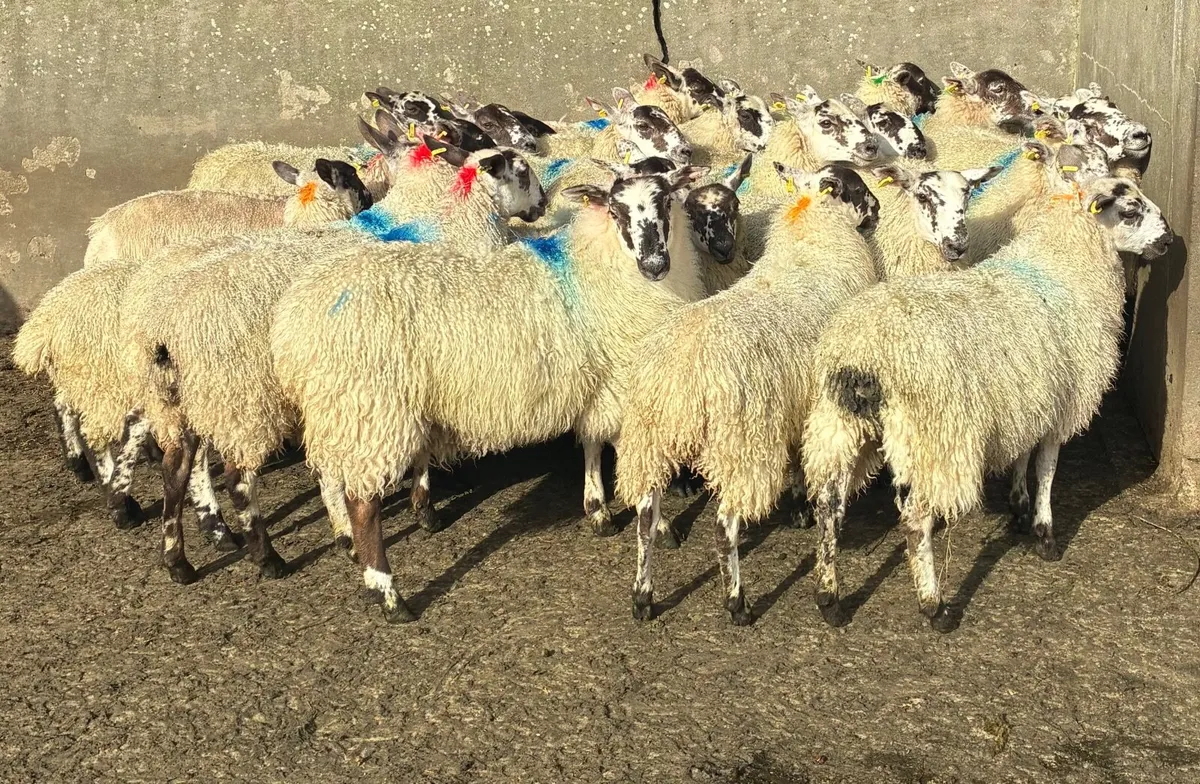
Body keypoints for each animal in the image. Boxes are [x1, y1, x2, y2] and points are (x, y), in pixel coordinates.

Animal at [126, 137, 548, 584]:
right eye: (522, 171)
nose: (543, 203)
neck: (451, 228)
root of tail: (161, 328)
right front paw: (426, 513)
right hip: (240, 398)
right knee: (237, 478)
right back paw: (267, 558)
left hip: (180, 401)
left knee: (176, 471)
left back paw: (183, 558)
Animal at [270, 166, 708, 621]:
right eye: (616, 211)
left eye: (666, 201)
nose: (654, 264)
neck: (596, 269)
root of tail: (293, 320)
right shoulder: (621, 385)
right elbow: (629, 461)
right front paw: (656, 524)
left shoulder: (600, 385)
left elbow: (591, 444)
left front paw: (598, 511)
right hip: (373, 408)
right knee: (363, 505)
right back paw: (389, 594)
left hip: (340, 409)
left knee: (330, 477)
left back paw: (350, 546)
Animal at [615, 164, 879, 624]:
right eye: (857, 188)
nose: (878, 208)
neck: (812, 232)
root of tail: (683, 379)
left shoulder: (796, 405)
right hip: (740, 443)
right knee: (724, 527)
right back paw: (737, 603)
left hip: (650, 438)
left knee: (645, 519)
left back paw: (643, 597)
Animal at [801, 171, 1172, 633]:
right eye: (1130, 210)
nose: (1169, 240)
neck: (1065, 265)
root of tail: (863, 354)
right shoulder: (1063, 402)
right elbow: (1047, 469)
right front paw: (1045, 534)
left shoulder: (1029, 398)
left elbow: (1023, 455)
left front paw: (1019, 507)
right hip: (934, 436)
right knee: (916, 518)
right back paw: (934, 605)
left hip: (837, 426)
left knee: (828, 507)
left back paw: (829, 598)